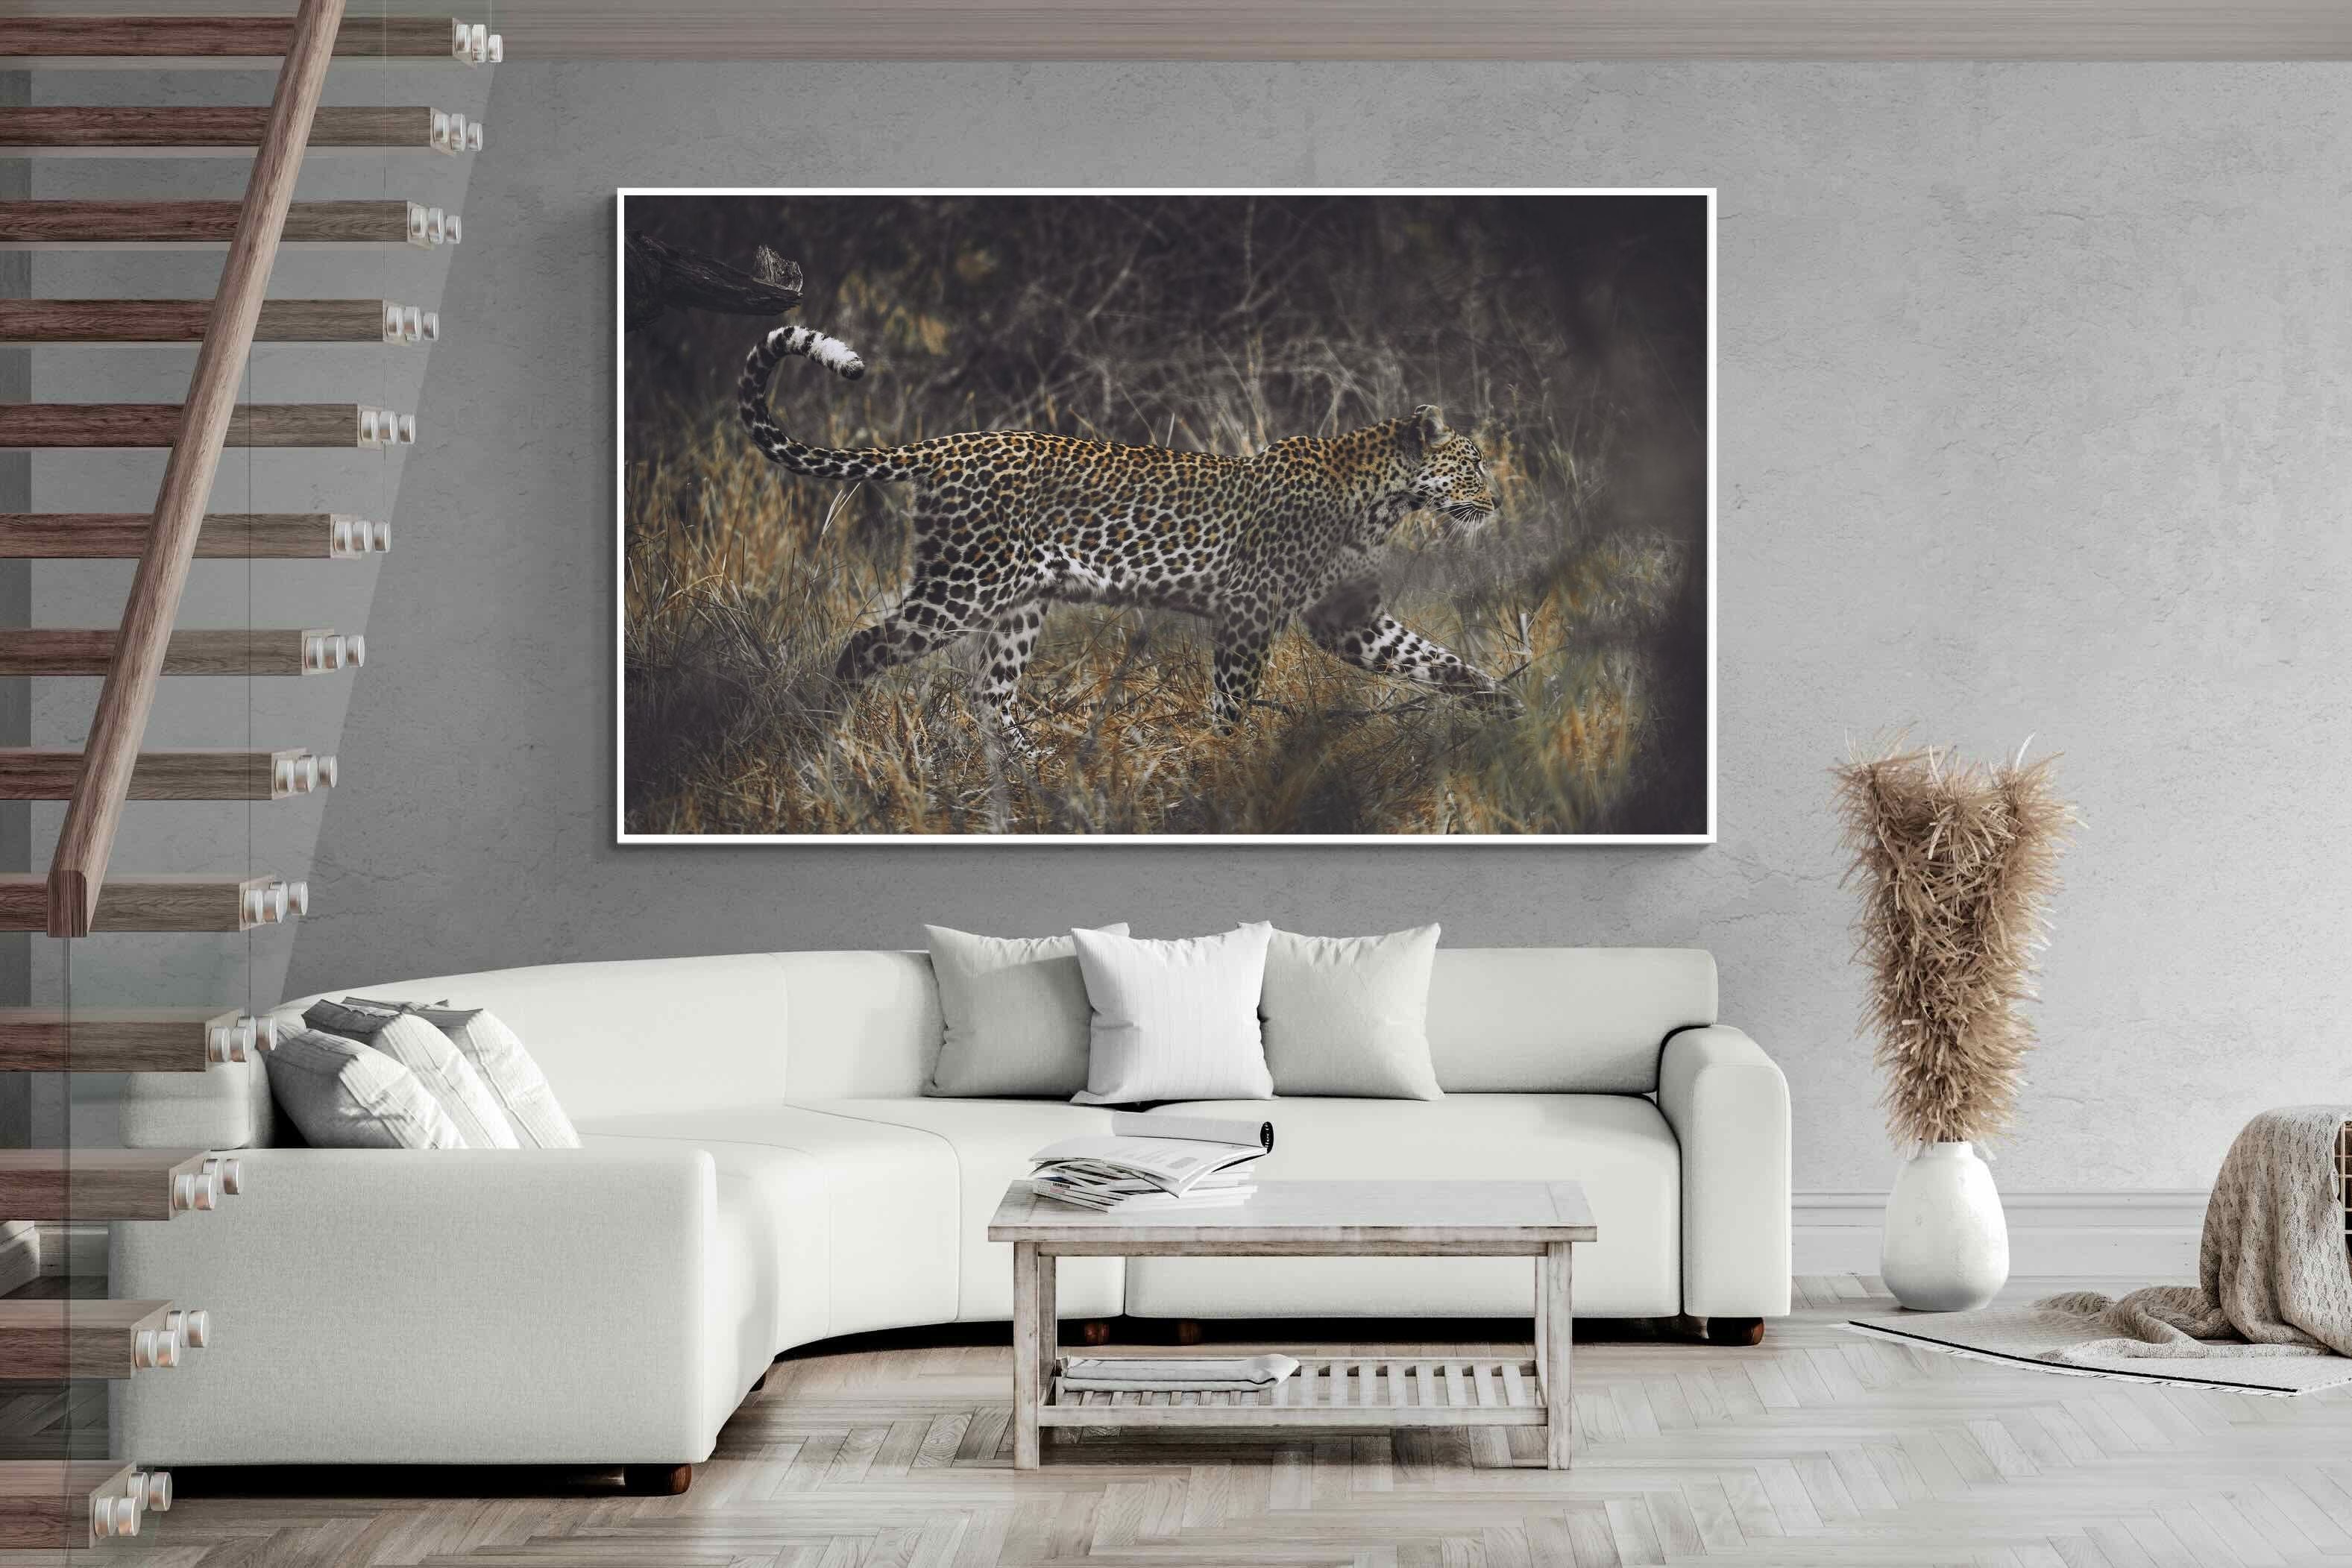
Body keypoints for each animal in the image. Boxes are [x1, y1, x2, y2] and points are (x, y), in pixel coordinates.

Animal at [737, 323, 1522, 755]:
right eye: (1473, 462)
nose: (1496, 499)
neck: (1383, 500)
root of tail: (946, 444)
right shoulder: (1249, 611)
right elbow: (1231, 701)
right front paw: (1223, 768)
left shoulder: (1349, 620)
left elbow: (1435, 660)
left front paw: (1507, 707)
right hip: (964, 586)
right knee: (864, 647)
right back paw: (830, 738)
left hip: (1019, 601)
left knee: (991, 694)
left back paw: (1038, 774)